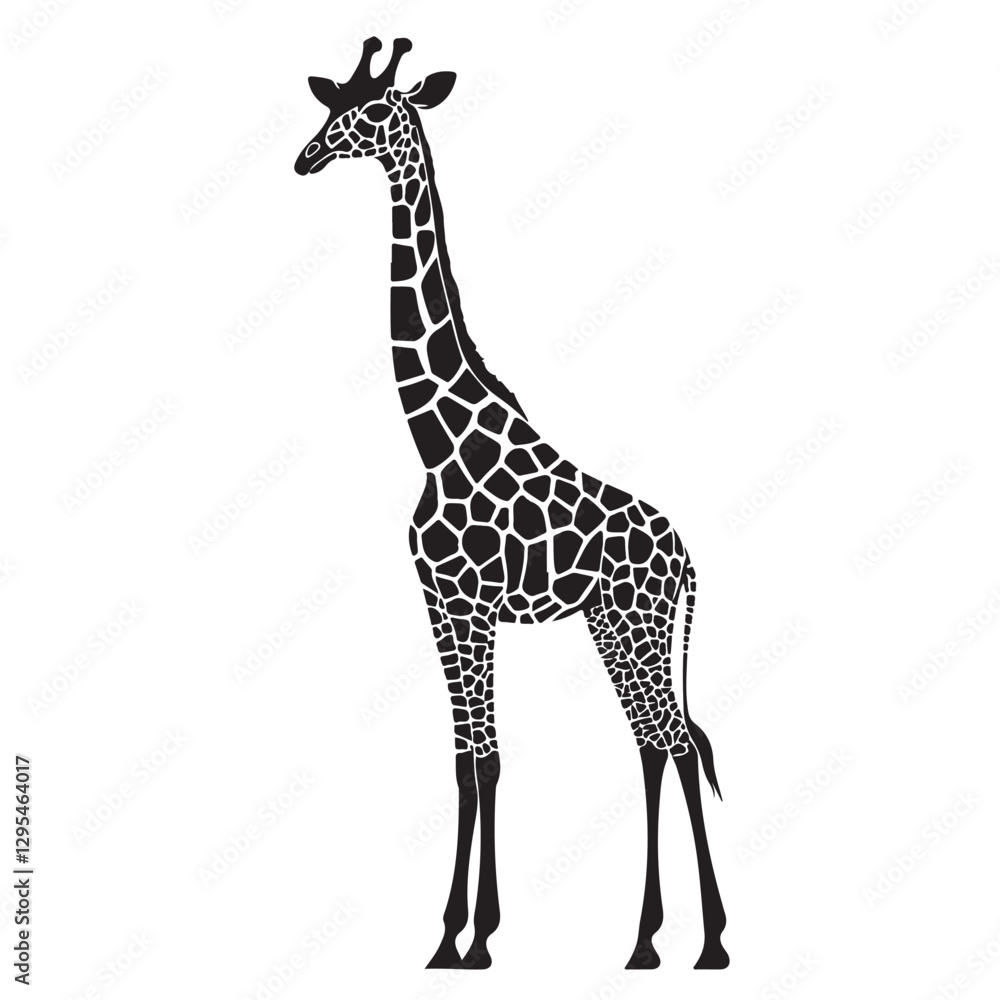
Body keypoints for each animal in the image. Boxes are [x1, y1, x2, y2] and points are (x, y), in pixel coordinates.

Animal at [294, 37, 729, 972]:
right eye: (328, 103)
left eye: (370, 113)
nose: (304, 157)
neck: (434, 437)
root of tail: (686, 556)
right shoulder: (447, 605)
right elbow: (470, 760)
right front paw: (458, 936)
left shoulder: (464, 604)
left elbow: (482, 761)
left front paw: (469, 937)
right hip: (612, 623)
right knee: (656, 742)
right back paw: (649, 940)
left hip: (640, 622)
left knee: (676, 742)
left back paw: (707, 942)